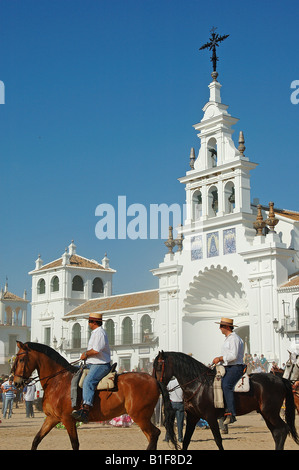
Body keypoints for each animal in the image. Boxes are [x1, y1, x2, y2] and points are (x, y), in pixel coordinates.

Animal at [11, 344, 178, 450]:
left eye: (21, 359)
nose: (16, 382)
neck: (58, 381)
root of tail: (154, 380)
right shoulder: (52, 418)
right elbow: (36, 440)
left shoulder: (68, 419)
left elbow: (75, 444)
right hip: (142, 417)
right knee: (152, 436)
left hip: (140, 416)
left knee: (154, 434)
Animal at [154, 350, 299, 450]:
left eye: (159, 366)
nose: (156, 385)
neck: (198, 384)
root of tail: (281, 379)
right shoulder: (192, 417)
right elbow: (186, 440)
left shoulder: (210, 417)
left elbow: (218, 440)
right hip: (266, 413)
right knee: (277, 433)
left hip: (270, 412)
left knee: (283, 430)